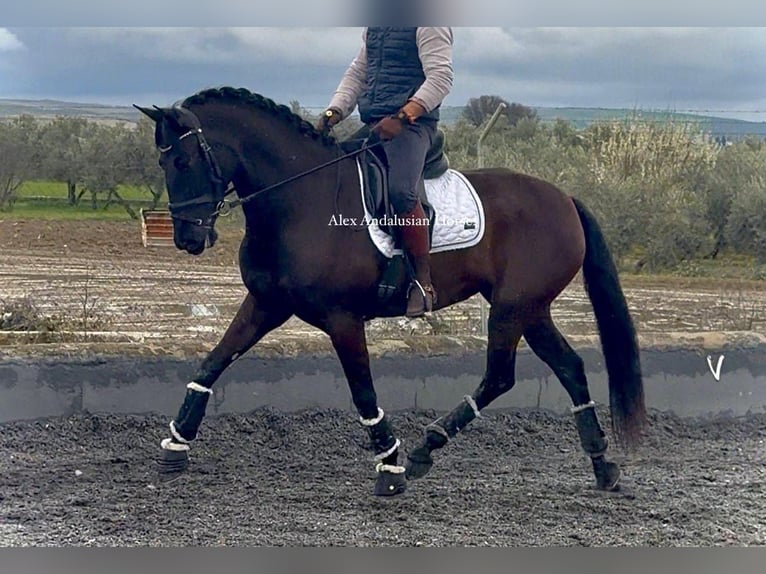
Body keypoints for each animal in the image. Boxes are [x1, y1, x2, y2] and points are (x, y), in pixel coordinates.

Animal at [135, 86, 646, 497]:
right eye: (161, 161)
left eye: (184, 160)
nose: (188, 239)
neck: (300, 201)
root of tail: (564, 200)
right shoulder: (267, 304)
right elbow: (214, 362)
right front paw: (176, 445)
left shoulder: (342, 319)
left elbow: (363, 391)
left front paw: (390, 465)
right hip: (530, 308)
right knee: (568, 367)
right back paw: (602, 466)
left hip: (512, 307)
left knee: (501, 376)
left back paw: (424, 449)